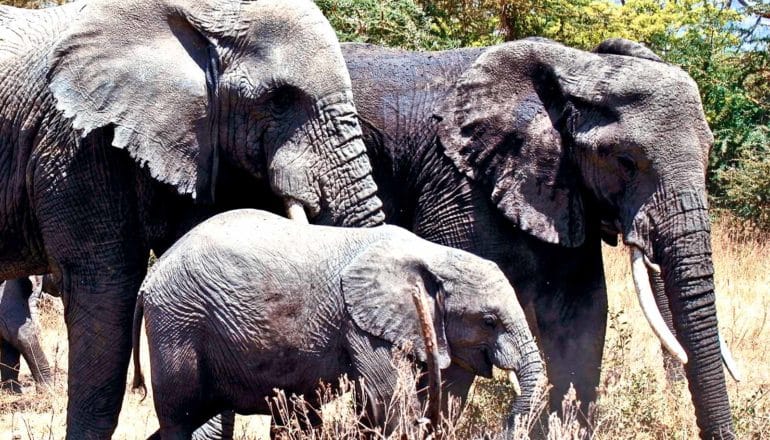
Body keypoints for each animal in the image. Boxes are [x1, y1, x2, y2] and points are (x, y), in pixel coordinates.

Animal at [130, 209, 540, 436]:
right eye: (489, 320)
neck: (431, 254)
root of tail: (150, 279)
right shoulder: (360, 325)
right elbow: (389, 399)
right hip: (177, 322)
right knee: (180, 416)